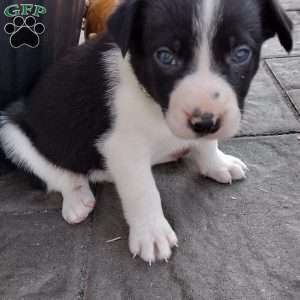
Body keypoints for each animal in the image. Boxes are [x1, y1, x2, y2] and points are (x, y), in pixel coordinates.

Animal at [0, 0, 292, 262]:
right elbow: (143, 190)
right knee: (58, 174)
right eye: (165, 56)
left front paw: (216, 163)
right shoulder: (123, 148)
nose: (205, 123)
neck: (153, 103)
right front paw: (152, 234)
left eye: (241, 53)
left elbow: (207, 143)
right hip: (10, 130)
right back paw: (77, 199)